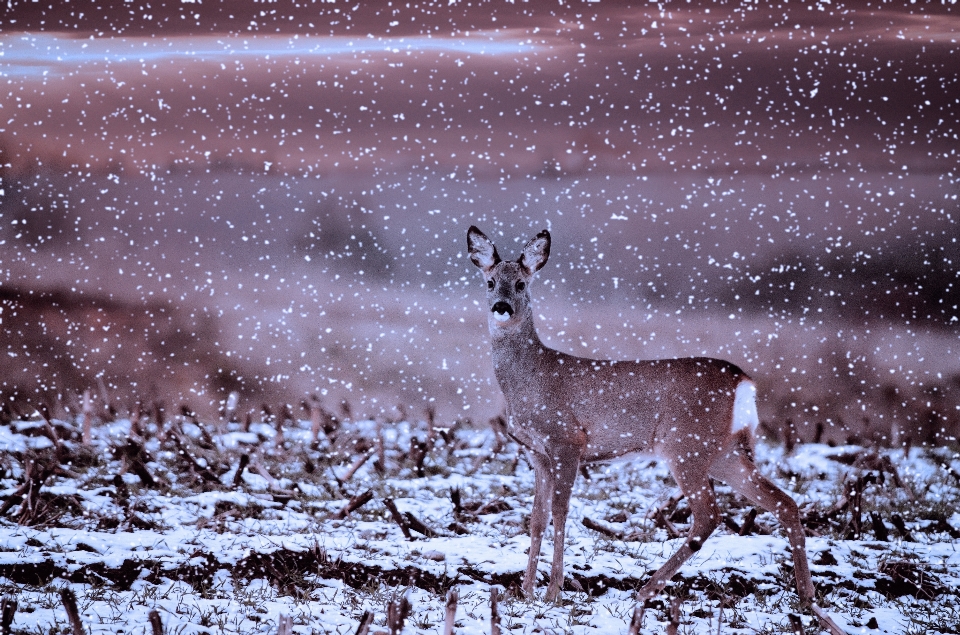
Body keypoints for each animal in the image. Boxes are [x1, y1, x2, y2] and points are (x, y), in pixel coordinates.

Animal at [468, 229, 812, 612]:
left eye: (521, 284)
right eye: (490, 282)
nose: (501, 307)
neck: (532, 376)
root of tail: (744, 381)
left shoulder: (567, 441)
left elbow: (560, 512)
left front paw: (552, 590)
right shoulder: (536, 452)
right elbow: (536, 518)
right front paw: (526, 589)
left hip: (686, 445)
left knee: (709, 514)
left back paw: (647, 590)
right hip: (725, 450)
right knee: (784, 501)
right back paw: (807, 597)